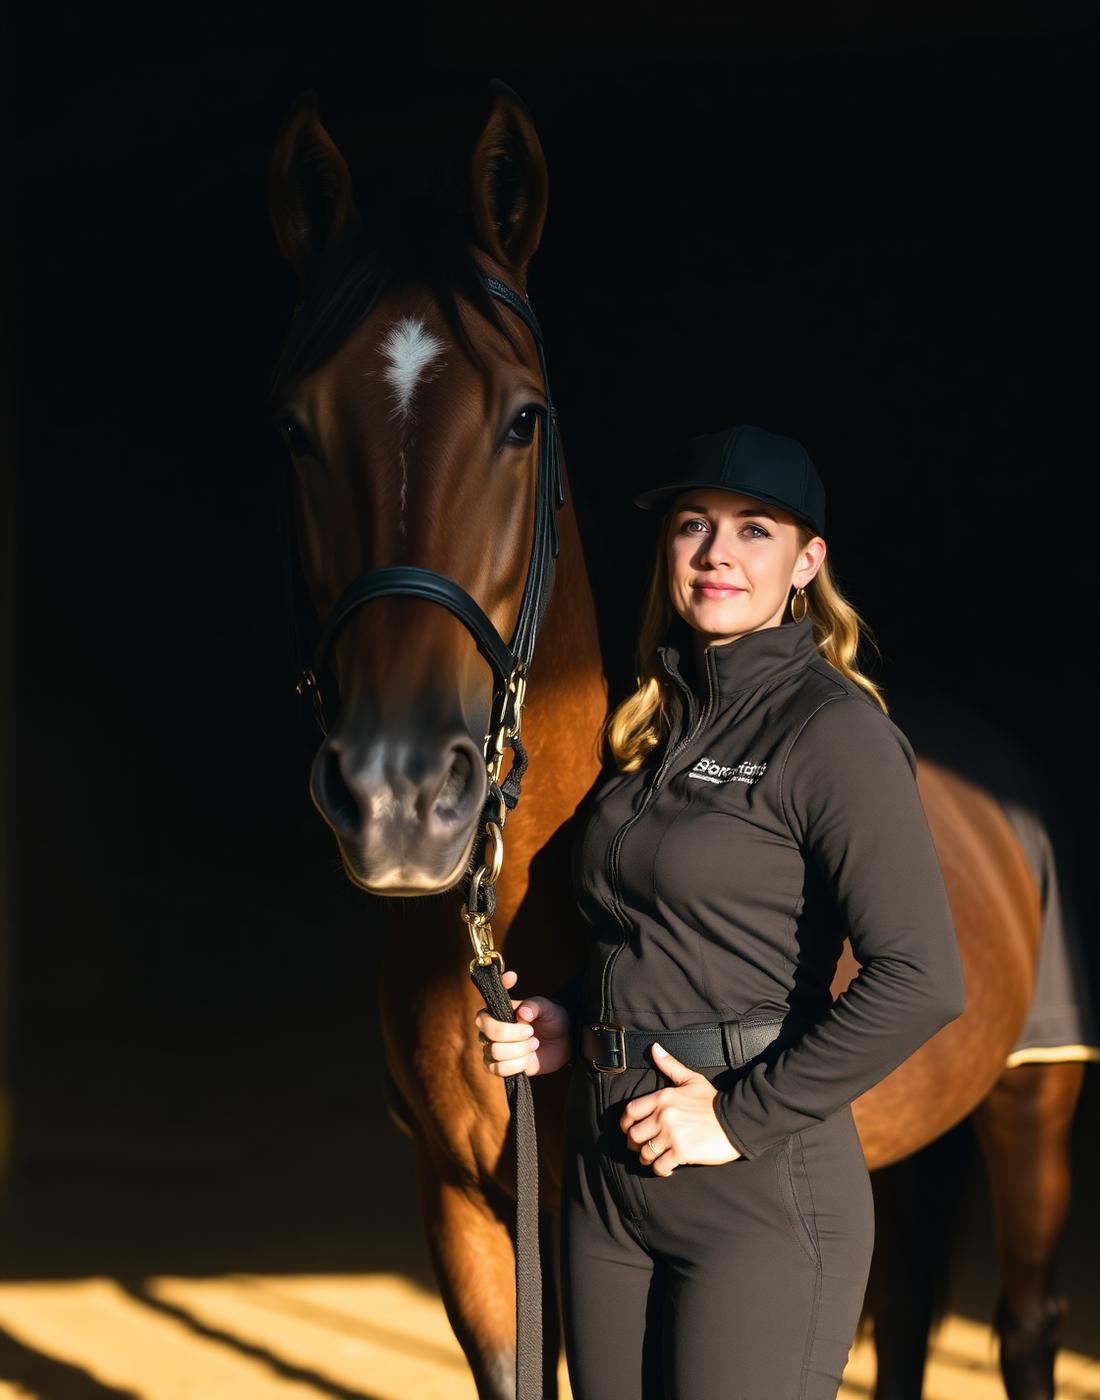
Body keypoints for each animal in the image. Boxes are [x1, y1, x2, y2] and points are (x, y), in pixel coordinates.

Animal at [266, 81, 1093, 1400]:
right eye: (296, 426)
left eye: (521, 419)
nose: (398, 796)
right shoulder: (466, 1216)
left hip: (1034, 1095)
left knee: (1020, 1319)